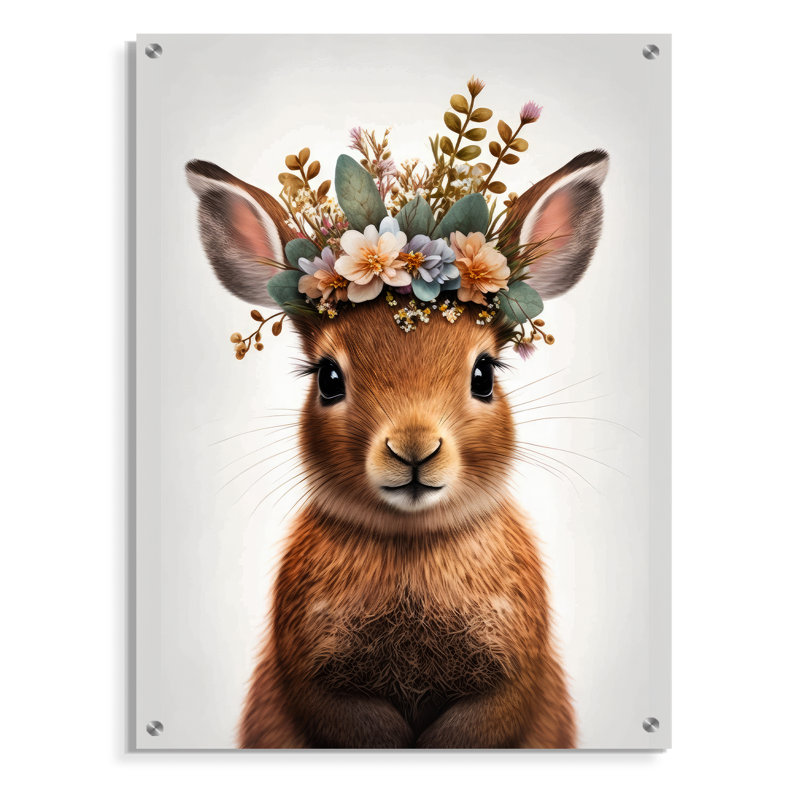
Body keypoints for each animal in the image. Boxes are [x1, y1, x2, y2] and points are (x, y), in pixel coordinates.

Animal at [186, 149, 608, 748]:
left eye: (484, 375)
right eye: (328, 379)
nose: (413, 448)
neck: (410, 539)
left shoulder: (507, 682)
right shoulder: (319, 683)